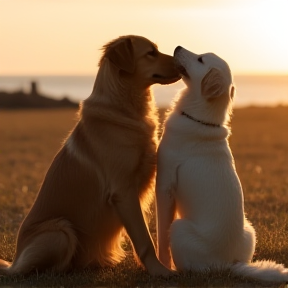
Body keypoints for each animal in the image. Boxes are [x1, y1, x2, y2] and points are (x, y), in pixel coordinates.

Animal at [0, 35, 180, 276]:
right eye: (150, 52)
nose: (180, 60)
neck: (123, 107)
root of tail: (14, 261)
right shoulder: (122, 191)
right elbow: (144, 240)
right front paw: (160, 271)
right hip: (61, 232)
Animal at [156, 46, 288, 282]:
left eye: (200, 59)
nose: (177, 47)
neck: (200, 118)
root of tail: (227, 265)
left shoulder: (164, 184)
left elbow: (161, 233)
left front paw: (162, 265)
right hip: (250, 229)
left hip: (179, 228)